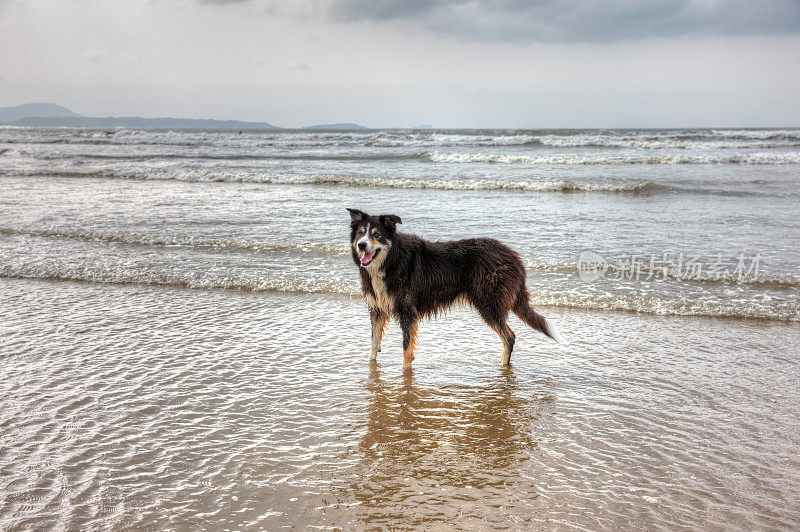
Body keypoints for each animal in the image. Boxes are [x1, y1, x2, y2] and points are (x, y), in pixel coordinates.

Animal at [346, 209, 560, 370]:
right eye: (360, 233)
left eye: (377, 234)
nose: (361, 245)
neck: (391, 260)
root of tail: (514, 256)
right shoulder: (377, 309)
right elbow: (373, 345)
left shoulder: (407, 311)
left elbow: (406, 349)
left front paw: (406, 372)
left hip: (488, 303)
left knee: (509, 337)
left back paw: (502, 365)